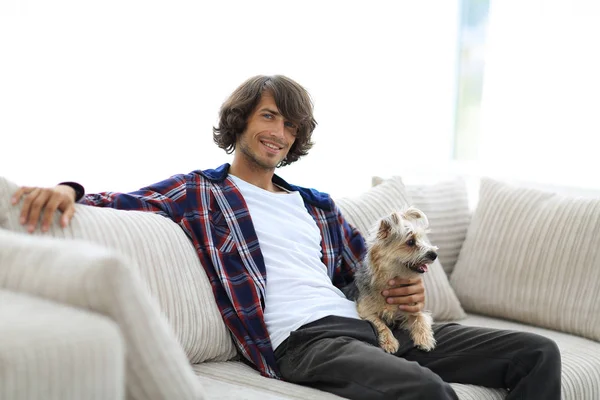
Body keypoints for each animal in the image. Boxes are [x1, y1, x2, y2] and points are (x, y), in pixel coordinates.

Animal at [354, 208, 438, 354]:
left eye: (421, 238)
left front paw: (425, 339)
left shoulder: (413, 306)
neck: (391, 278)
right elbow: (380, 324)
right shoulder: (365, 311)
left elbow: (420, 318)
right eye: (410, 242)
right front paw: (389, 342)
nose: (434, 254)